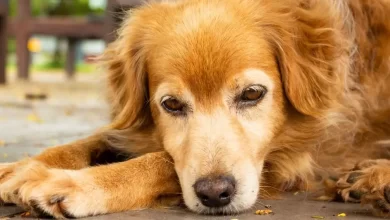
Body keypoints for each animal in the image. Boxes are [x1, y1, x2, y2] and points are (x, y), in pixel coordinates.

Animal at [0, 0, 390, 217]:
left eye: (252, 94)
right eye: (171, 104)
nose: (215, 194)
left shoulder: (296, 156)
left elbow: (161, 161)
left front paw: (70, 183)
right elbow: (97, 139)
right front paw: (22, 168)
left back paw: (375, 179)